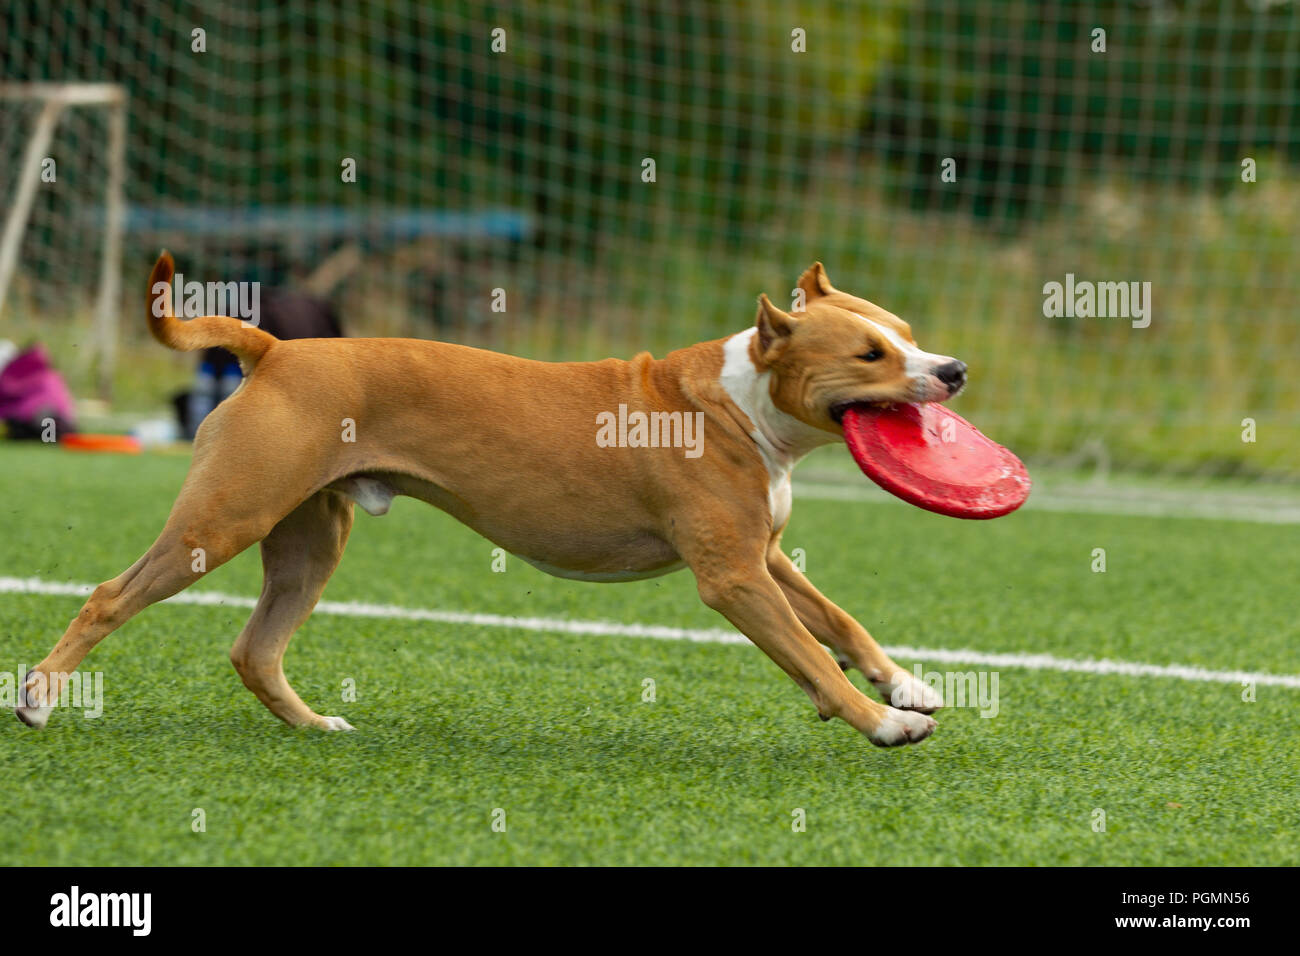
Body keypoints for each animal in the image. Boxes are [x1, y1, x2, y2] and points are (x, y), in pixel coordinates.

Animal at [17, 254, 967, 749]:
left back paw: (316, 723)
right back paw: (38, 698)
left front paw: (907, 684)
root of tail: (276, 348)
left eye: (908, 336)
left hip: (309, 539)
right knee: (109, 597)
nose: (954, 370)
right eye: (871, 354)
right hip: (222, 519)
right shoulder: (732, 576)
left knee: (255, 649)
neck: (739, 399)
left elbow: (837, 622)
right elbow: (808, 655)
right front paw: (882, 722)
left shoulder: (762, 554)